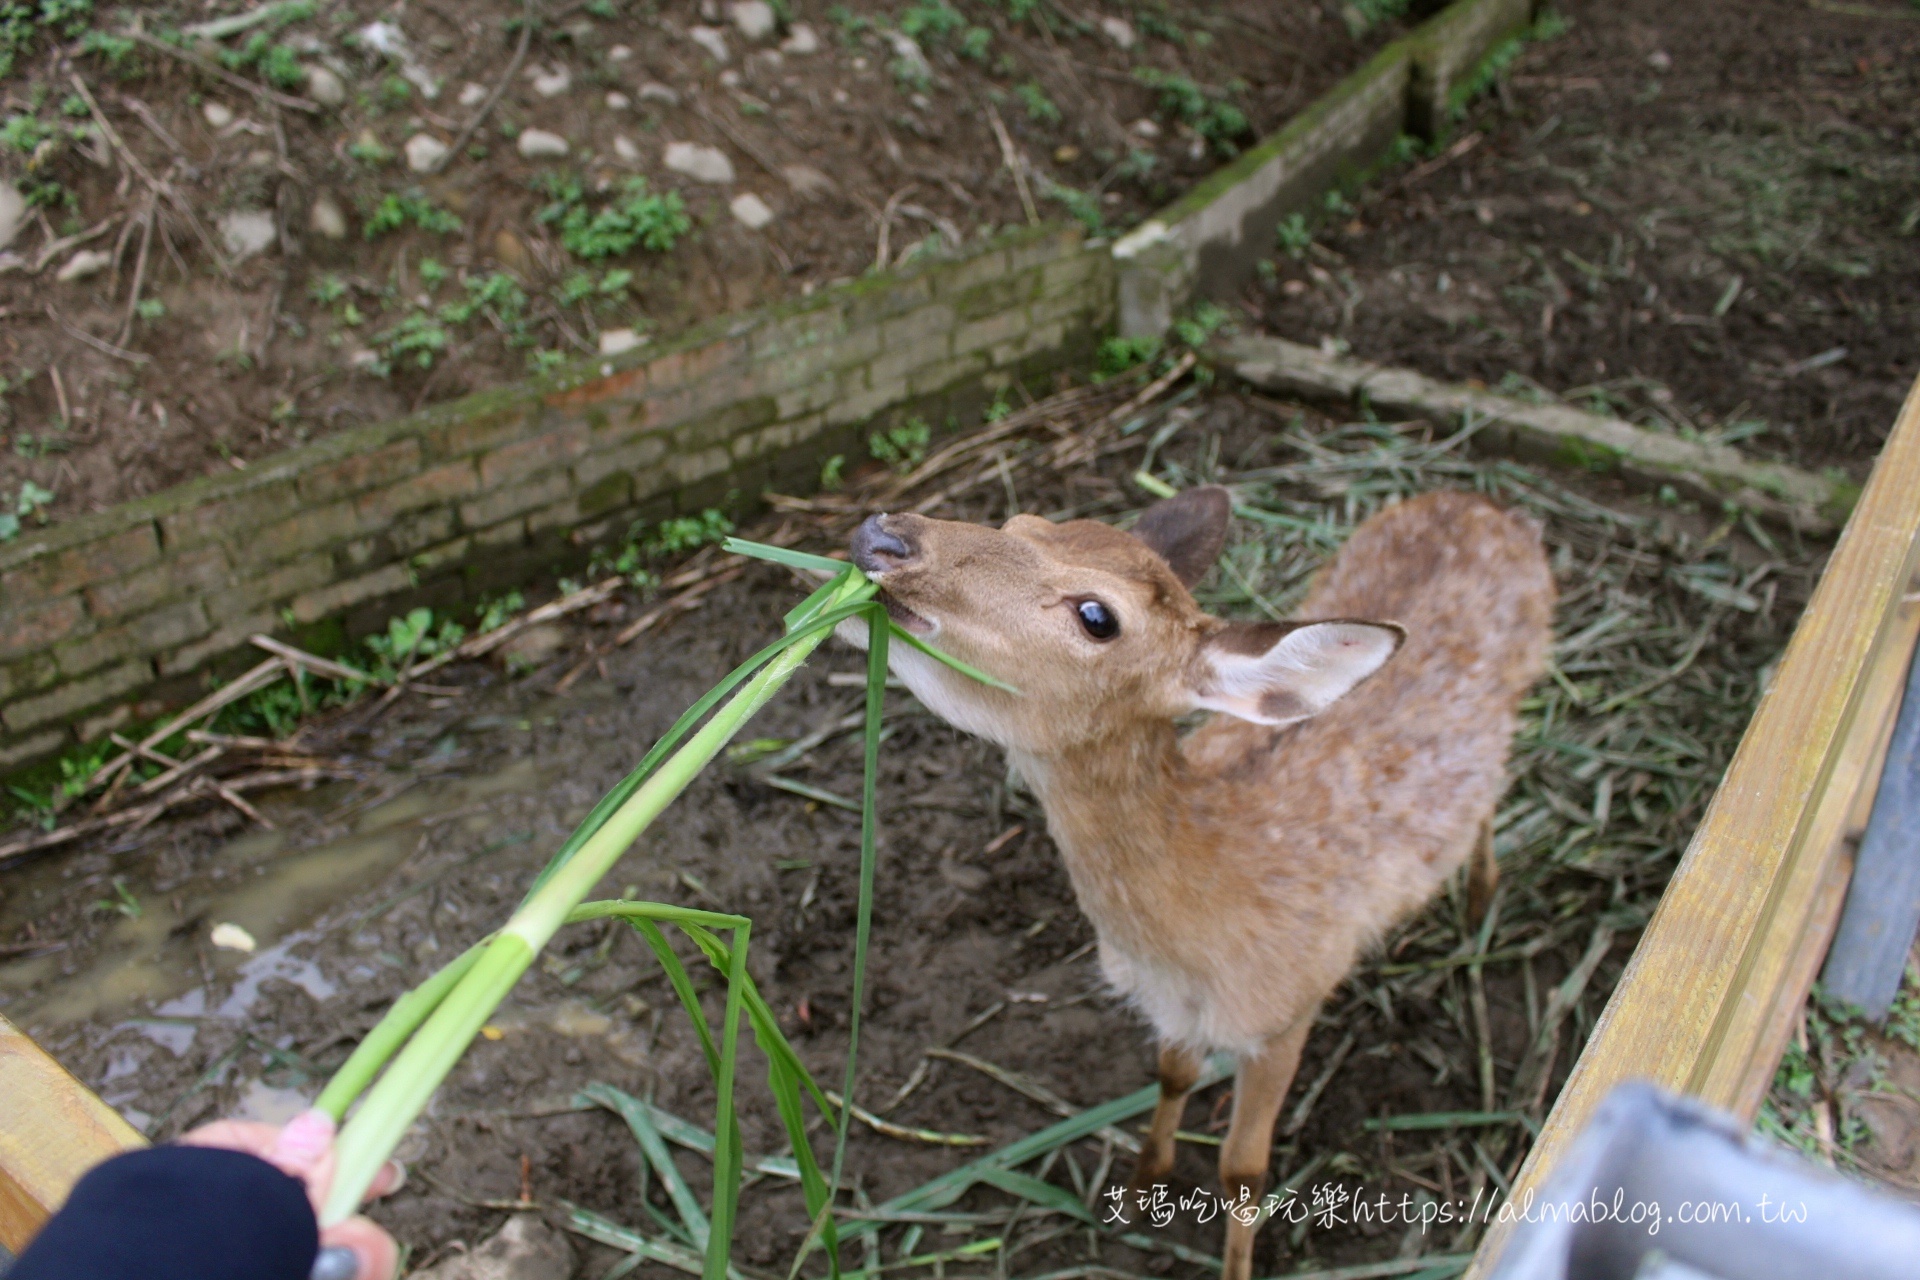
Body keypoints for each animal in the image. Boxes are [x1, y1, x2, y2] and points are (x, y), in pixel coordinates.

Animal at [844, 483, 1559, 1280]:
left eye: (1097, 616)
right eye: (1022, 522)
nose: (885, 536)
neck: (1195, 932)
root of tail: (1486, 503)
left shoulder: (1286, 1010)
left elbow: (1242, 1168)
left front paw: (1235, 1262)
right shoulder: (1174, 1010)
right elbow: (1171, 1076)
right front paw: (1139, 1185)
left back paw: (1480, 896)